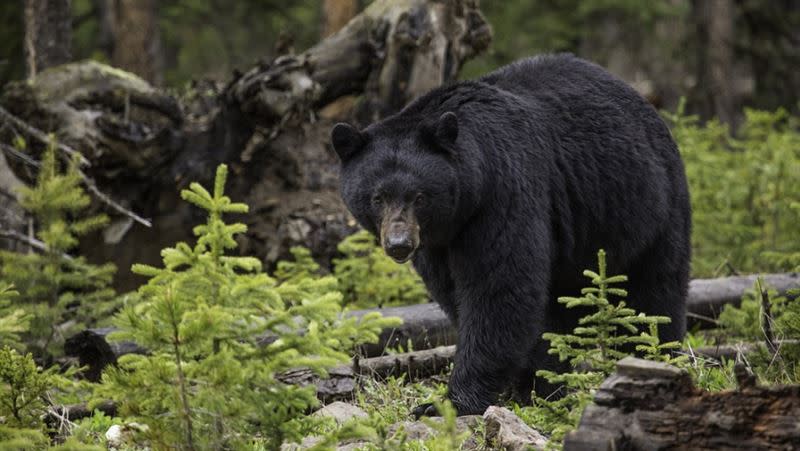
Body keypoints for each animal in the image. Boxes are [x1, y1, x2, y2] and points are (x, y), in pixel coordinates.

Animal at [332, 54, 692, 418]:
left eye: (419, 196)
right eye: (378, 197)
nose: (399, 245)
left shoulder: (503, 193)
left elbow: (499, 288)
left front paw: (449, 402)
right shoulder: (438, 243)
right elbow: (455, 292)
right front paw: (520, 383)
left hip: (649, 207)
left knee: (654, 293)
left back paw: (654, 356)